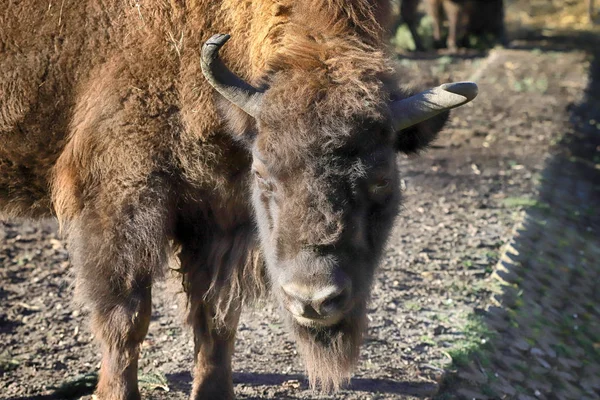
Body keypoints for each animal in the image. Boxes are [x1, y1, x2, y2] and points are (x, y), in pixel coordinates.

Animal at [0, 1, 478, 398]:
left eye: (381, 179)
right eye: (264, 174)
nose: (313, 299)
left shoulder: (223, 217)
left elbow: (216, 317)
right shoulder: (116, 202)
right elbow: (126, 317)